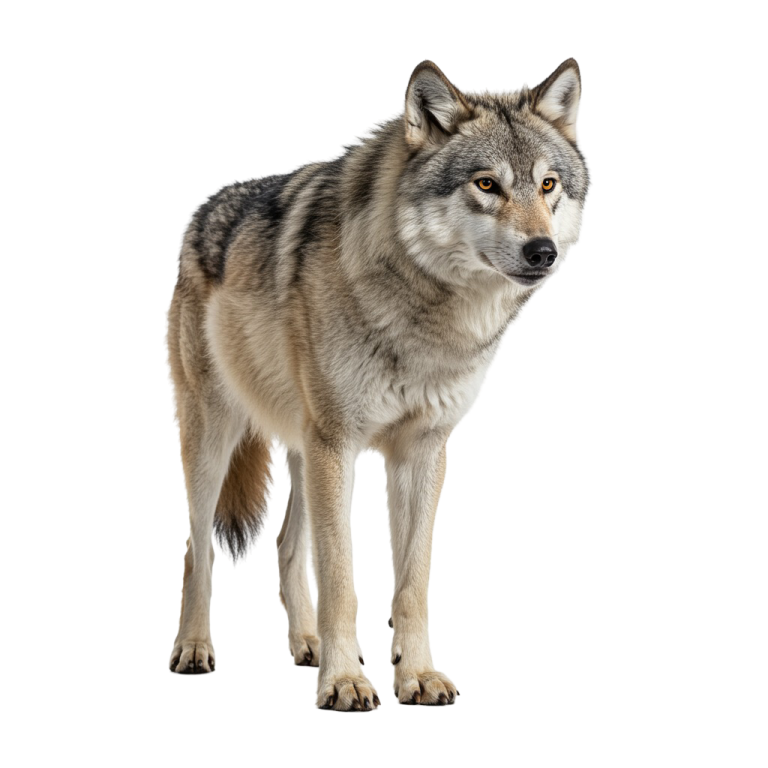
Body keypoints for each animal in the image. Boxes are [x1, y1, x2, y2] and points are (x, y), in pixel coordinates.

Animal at [164, 58, 592, 710]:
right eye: (486, 185)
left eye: (547, 185)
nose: (541, 250)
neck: (428, 319)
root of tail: (201, 209)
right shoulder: (338, 444)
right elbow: (343, 579)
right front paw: (344, 681)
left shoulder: (421, 451)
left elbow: (411, 584)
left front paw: (416, 675)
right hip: (216, 442)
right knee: (196, 550)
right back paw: (194, 649)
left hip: (302, 453)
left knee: (288, 548)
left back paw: (306, 645)